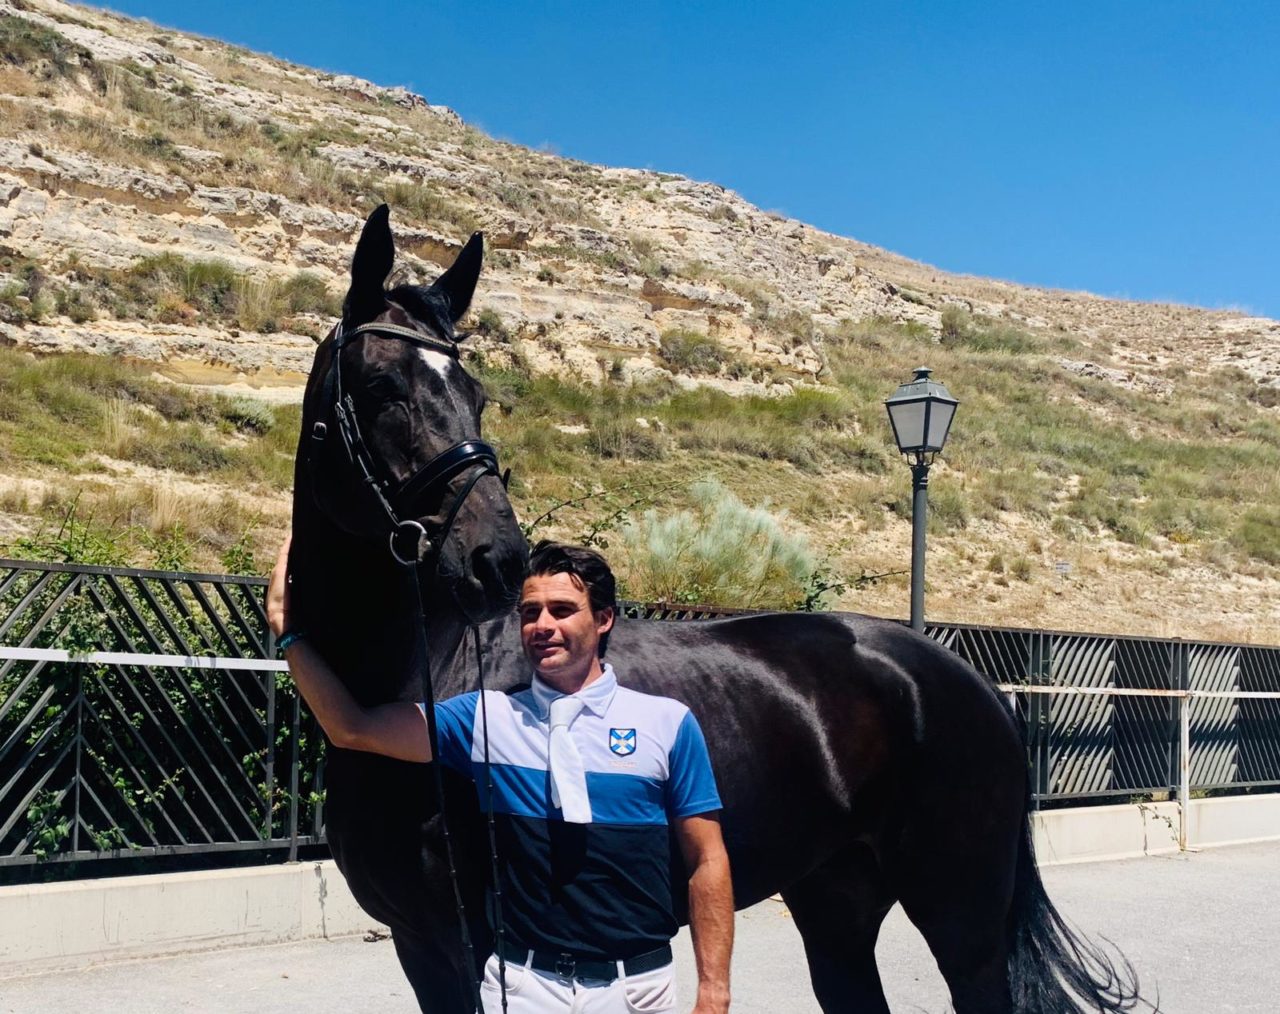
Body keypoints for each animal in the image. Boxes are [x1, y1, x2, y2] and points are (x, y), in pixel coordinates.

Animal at [290, 202, 1152, 1008]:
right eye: (381, 386)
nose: (497, 559)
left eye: (476, 393)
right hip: (836, 910)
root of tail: (969, 684)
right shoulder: (423, 944)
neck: (415, 680)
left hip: (961, 919)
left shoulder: (468, 946)